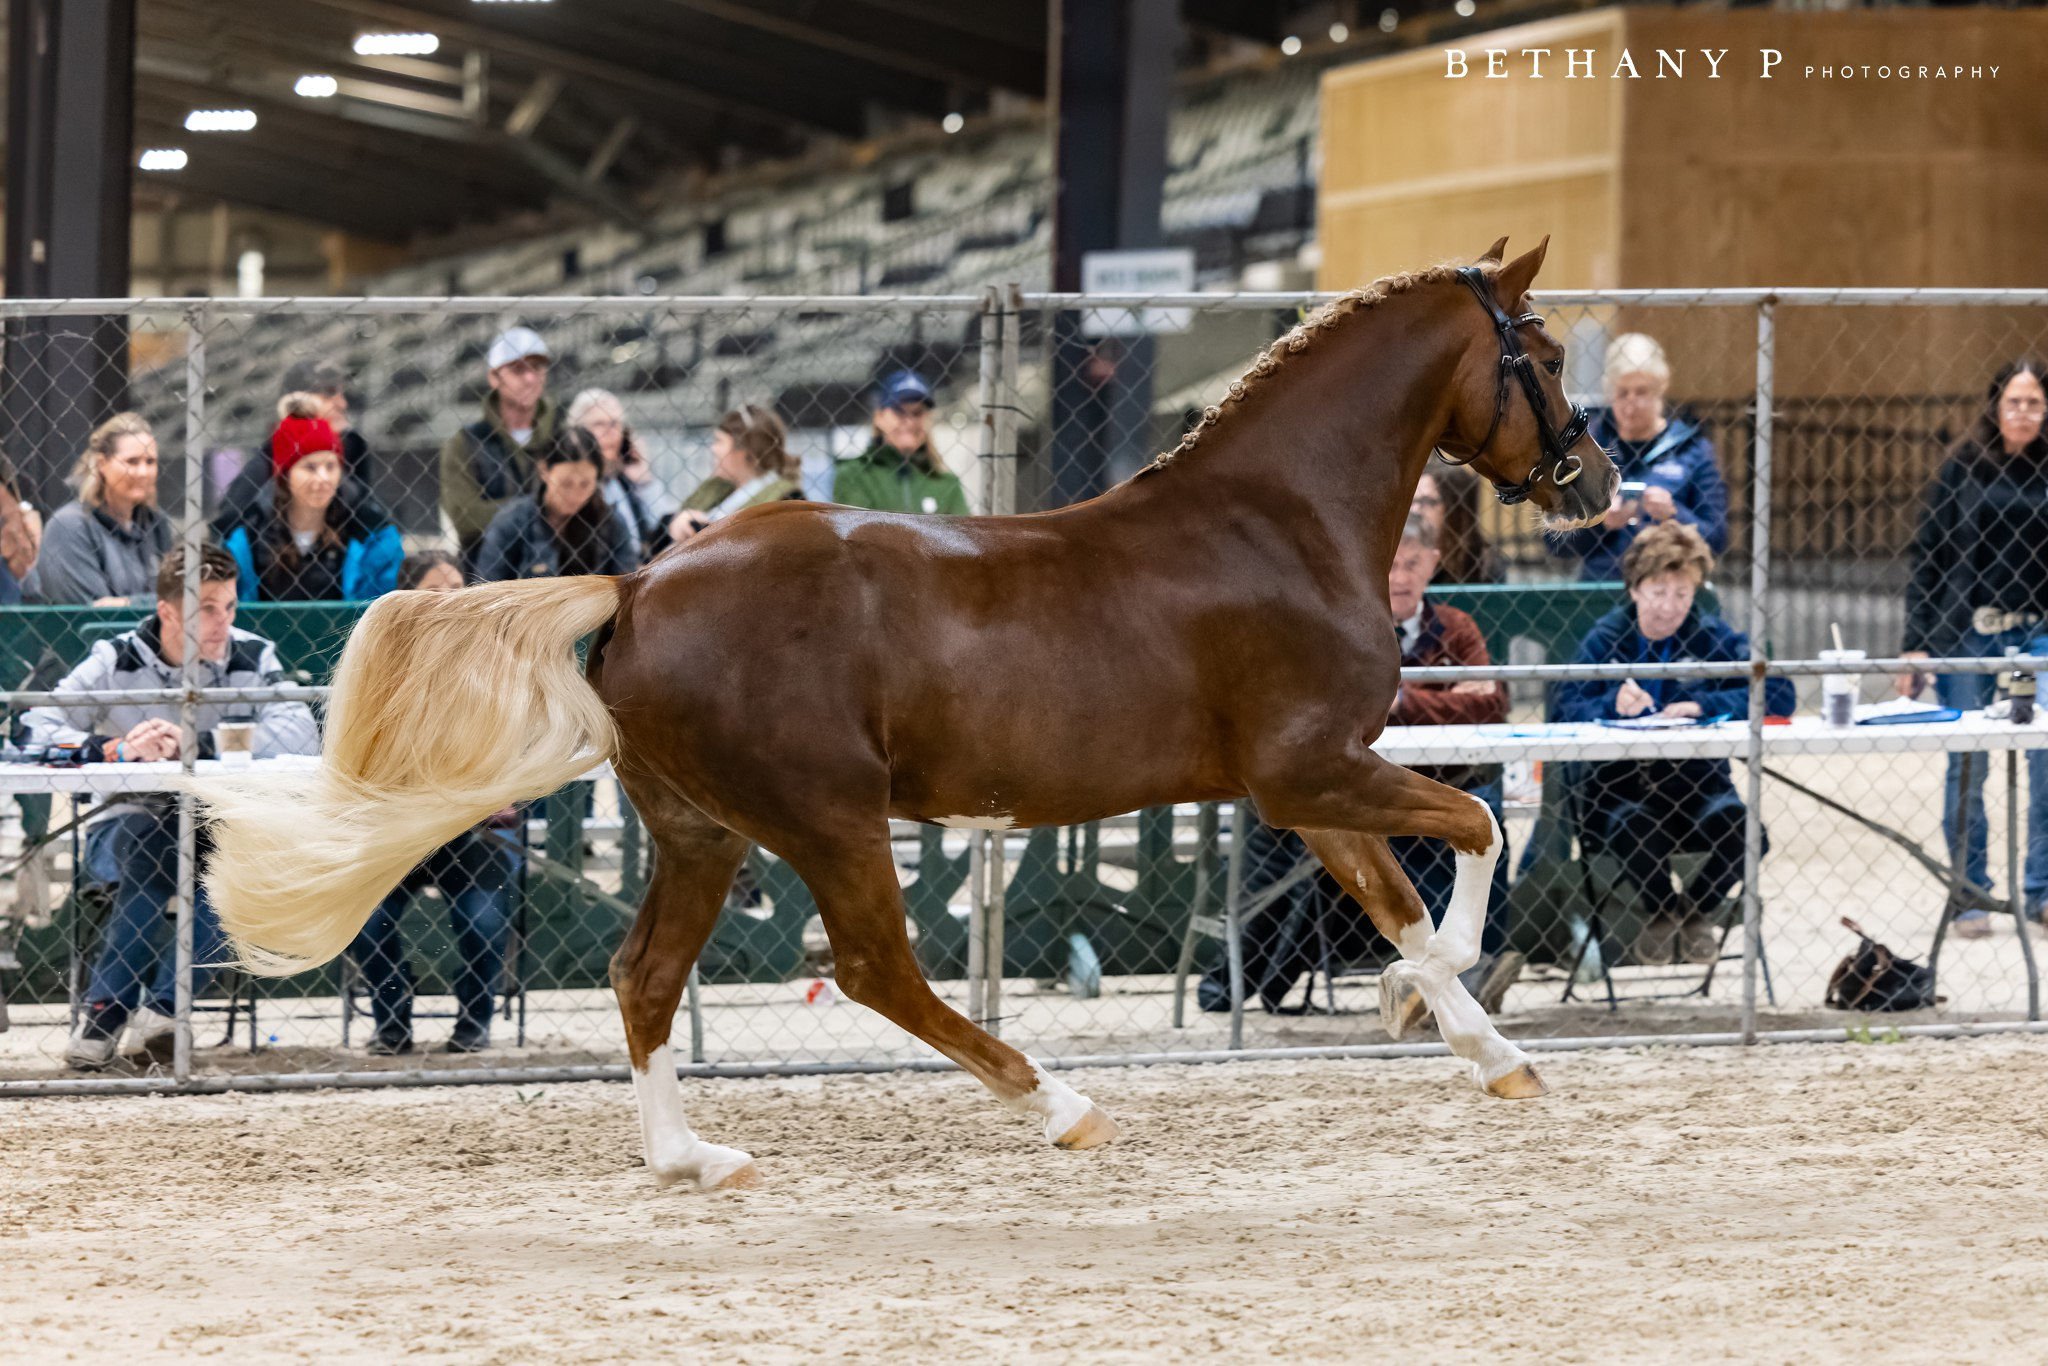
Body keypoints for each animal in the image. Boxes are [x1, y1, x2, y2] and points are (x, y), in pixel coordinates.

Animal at [195, 237, 1616, 1192]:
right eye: (1543, 351)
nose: (1596, 483)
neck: (1275, 521)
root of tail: (642, 578)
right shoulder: (1306, 769)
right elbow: (1473, 832)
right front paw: (1444, 1005)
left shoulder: (1312, 783)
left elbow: (1401, 895)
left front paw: (1472, 1040)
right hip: (827, 816)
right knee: (877, 967)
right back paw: (1060, 1104)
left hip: (702, 828)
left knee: (644, 972)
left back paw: (692, 1158)